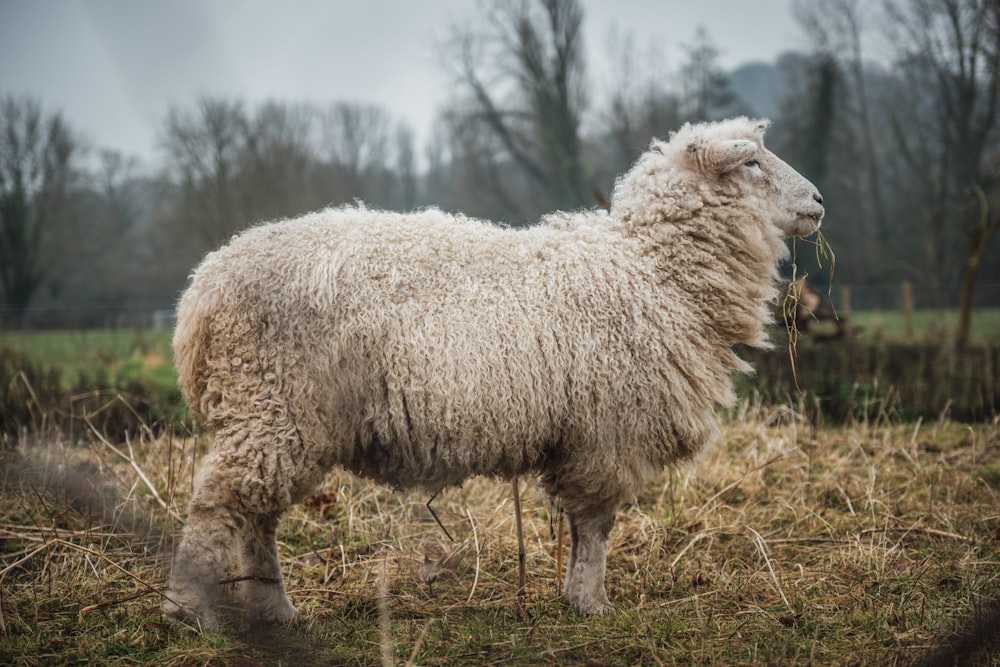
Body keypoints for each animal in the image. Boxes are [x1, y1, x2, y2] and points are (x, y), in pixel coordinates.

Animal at [160, 117, 824, 628]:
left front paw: (577, 597)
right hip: (274, 404)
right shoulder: (606, 431)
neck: (653, 269)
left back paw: (274, 612)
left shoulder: (584, 434)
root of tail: (202, 290)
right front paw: (592, 604)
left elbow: (582, 528)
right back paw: (187, 609)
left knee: (255, 514)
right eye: (752, 162)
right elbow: (597, 525)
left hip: (275, 416)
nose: (819, 201)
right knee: (219, 503)